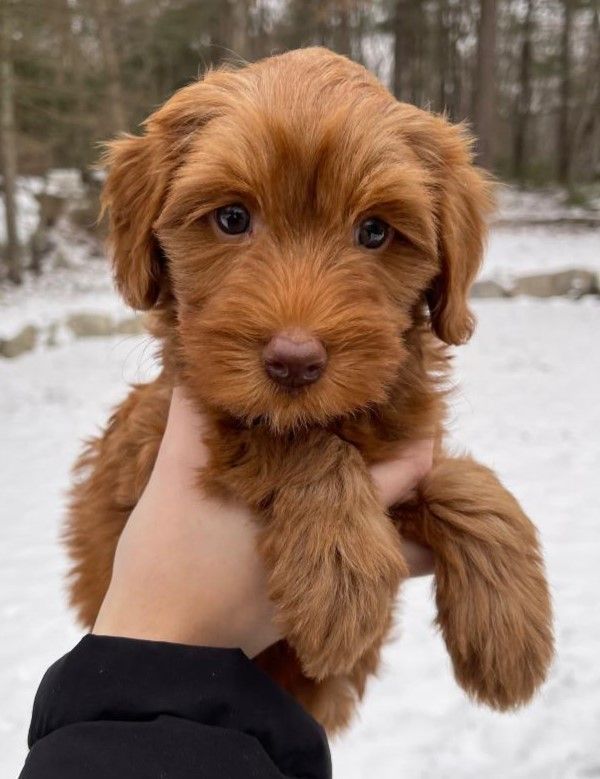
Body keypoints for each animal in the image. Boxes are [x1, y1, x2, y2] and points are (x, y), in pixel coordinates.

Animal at [66, 47, 554, 732]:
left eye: (375, 231)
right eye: (232, 218)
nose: (294, 363)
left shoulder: (410, 436)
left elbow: (465, 481)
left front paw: (510, 630)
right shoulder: (159, 434)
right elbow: (288, 438)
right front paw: (340, 579)